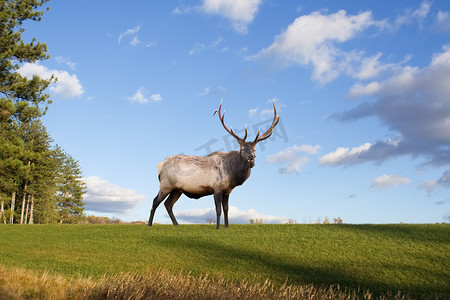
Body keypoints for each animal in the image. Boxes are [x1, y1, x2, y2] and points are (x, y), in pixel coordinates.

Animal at [149, 99, 280, 229]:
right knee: (155, 201)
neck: (232, 175)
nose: (251, 157)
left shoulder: (227, 191)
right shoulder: (217, 188)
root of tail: (160, 166)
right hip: (166, 184)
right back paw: (149, 224)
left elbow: (226, 209)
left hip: (177, 189)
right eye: (242, 149)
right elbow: (218, 210)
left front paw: (227, 227)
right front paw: (217, 227)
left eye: (254, 149)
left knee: (168, 204)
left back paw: (176, 225)